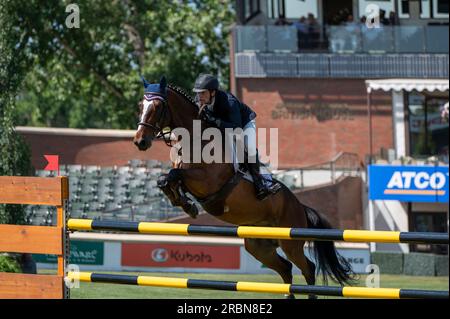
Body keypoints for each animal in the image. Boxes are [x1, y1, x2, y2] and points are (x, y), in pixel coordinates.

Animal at [132, 77, 356, 300]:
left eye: (158, 106)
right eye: (141, 105)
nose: (139, 141)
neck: (194, 141)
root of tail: (299, 206)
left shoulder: (208, 181)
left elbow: (173, 175)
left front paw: (187, 204)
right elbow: (166, 179)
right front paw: (184, 203)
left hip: (290, 241)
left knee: (307, 268)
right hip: (258, 246)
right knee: (285, 268)